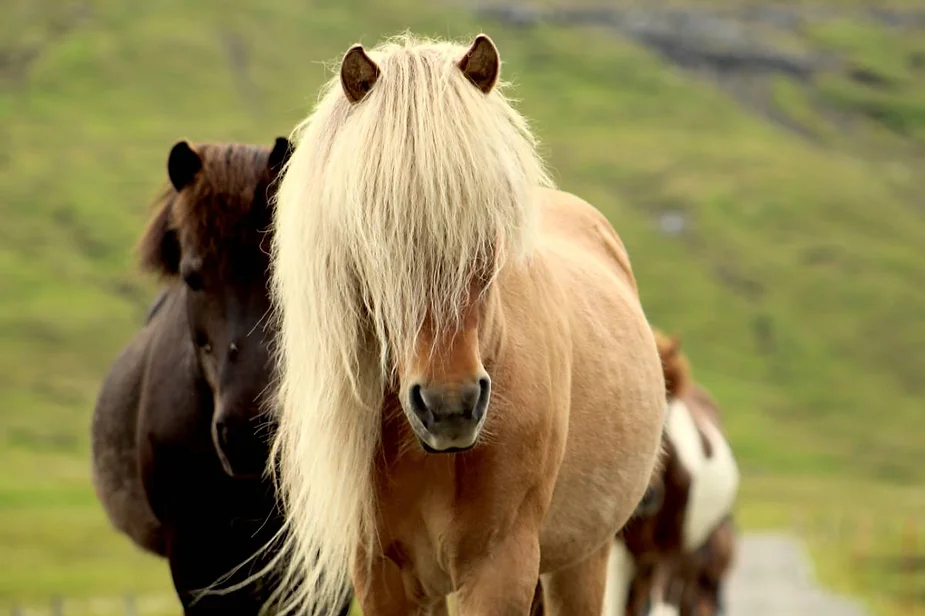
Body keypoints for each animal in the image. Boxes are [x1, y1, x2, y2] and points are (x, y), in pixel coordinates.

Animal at [264, 32, 668, 616]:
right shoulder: (383, 578)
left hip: (582, 560)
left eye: (488, 231)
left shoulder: (498, 567)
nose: (450, 406)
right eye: (372, 234)